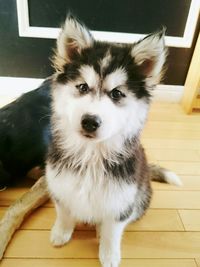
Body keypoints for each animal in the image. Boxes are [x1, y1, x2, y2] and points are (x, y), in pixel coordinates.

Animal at [45, 15, 181, 267]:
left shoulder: (122, 202)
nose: (89, 121)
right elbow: (64, 212)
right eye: (82, 87)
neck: (91, 156)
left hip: (141, 196)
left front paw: (108, 254)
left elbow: (112, 231)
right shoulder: (59, 185)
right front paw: (61, 233)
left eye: (116, 94)